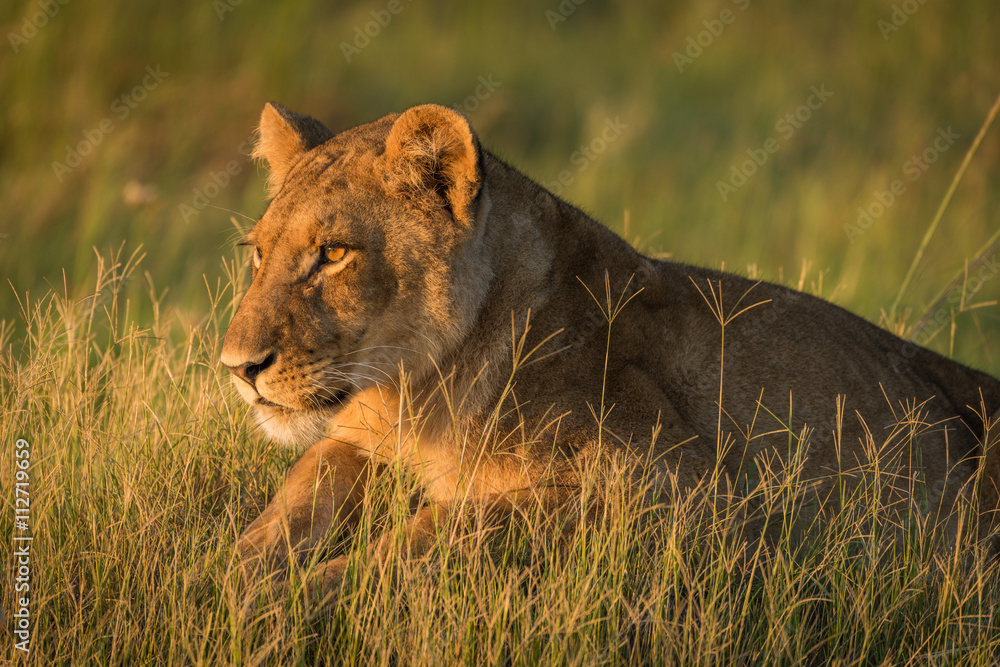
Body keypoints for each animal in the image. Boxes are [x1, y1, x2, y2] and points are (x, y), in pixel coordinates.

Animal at [221, 102, 1000, 591]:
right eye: (257, 253)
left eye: (333, 253)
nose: (237, 368)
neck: (418, 390)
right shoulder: (357, 440)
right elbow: (300, 493)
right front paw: (230, 578)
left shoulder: (687, 492)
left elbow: (451, 524)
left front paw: (304, 596)